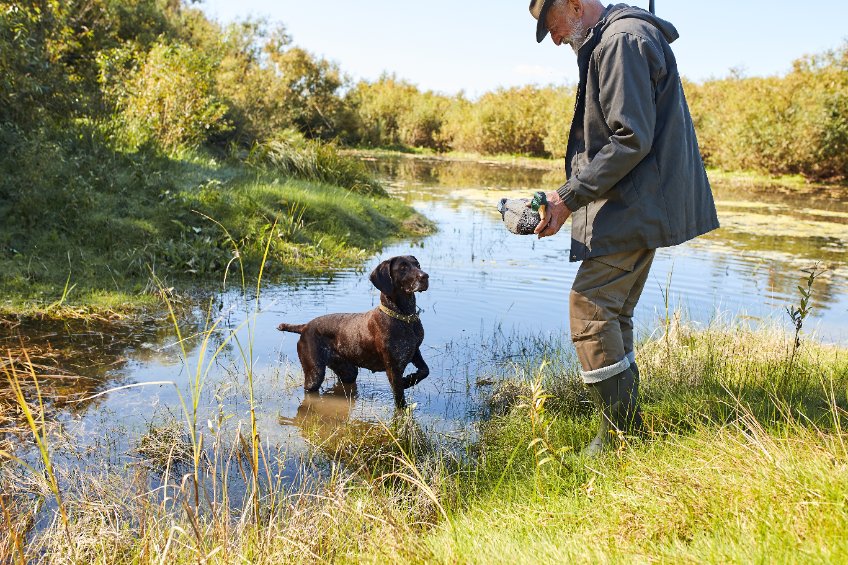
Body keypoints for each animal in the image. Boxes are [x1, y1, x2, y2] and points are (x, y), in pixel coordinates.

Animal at [276, 254, 428, 406]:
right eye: (403, 268)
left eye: (418, 265)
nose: (425, 276)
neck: (404, 318)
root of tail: (305, 326)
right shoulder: (393, 368)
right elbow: (400, 401)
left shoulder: (415, 351)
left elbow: (425, 370)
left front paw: (409, 380)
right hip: (314, 374)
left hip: (348, 372)